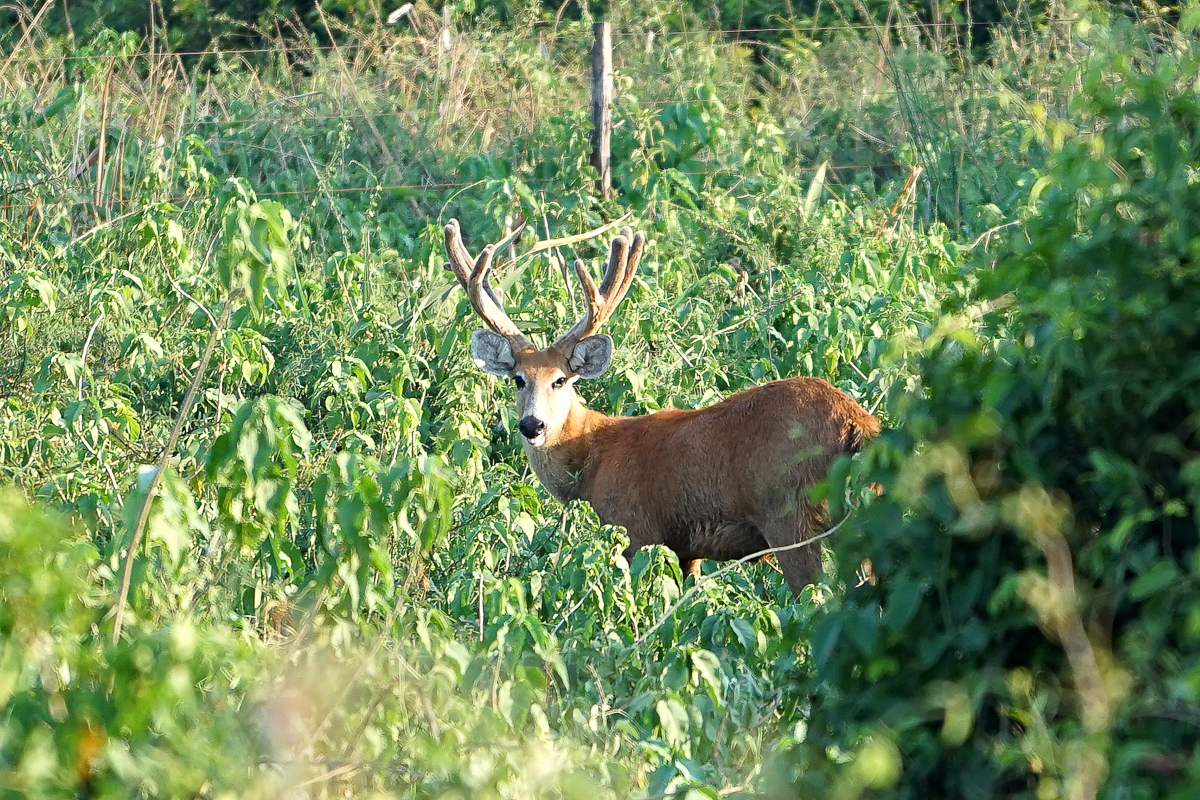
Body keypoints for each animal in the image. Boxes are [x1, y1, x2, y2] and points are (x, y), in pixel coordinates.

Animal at [444, 217, 883, 594]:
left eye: (561, 379)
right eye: (518, 379)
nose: (532, 426)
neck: (592, 458)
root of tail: (856, 423)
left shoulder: (634, 530)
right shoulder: (686, 549)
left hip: (790, 514)